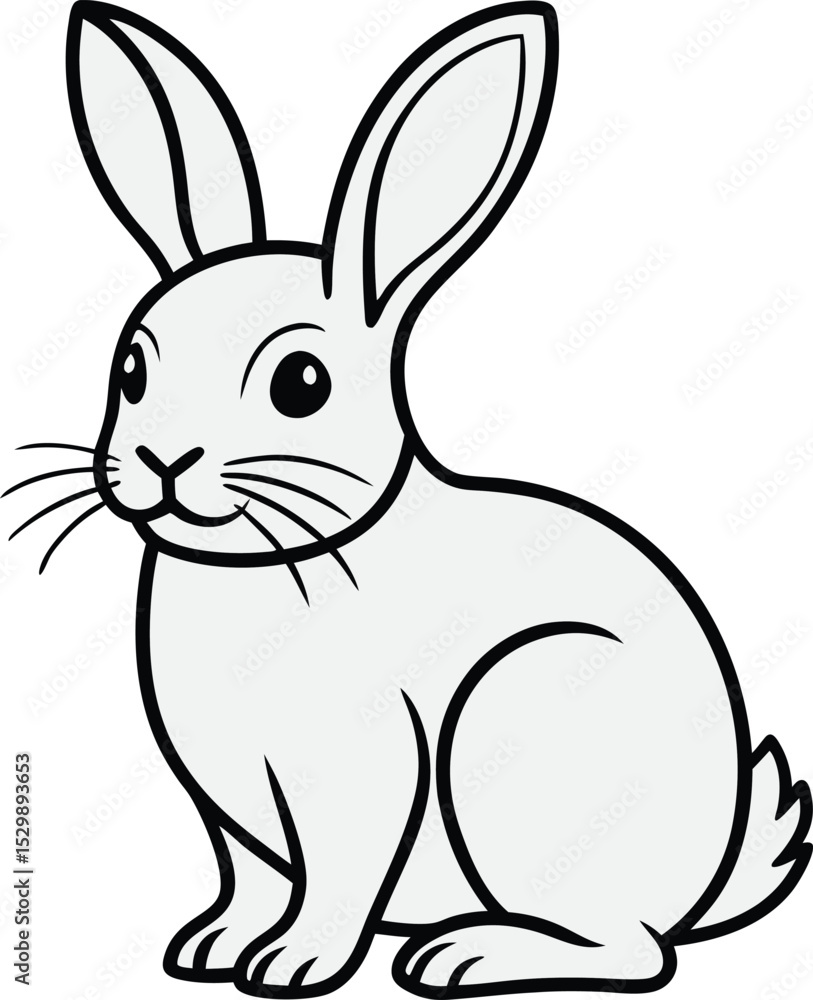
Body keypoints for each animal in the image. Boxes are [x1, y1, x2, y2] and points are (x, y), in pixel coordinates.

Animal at [7, 1, 810, 996]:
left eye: (301, 383)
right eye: (130, 368)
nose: (162, 459)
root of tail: (706, 874)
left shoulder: (361, 773)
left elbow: (338, 878)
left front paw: (293, 964)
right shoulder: (226, 811)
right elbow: (247, 878)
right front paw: (211, 948)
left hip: (519, 725)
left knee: (632, 949)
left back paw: (466, 953)